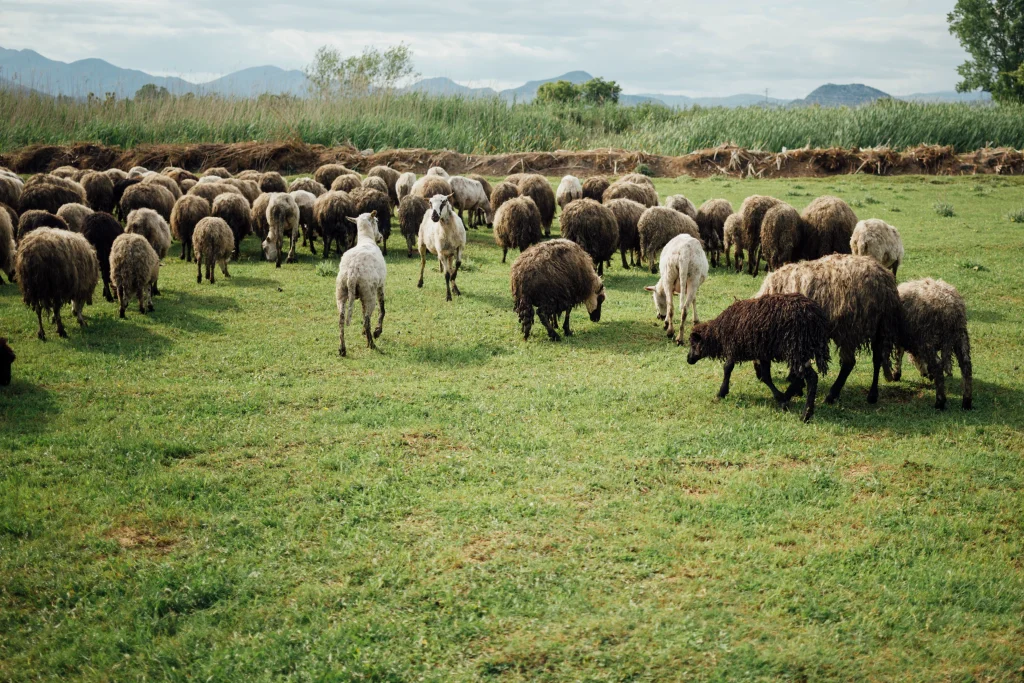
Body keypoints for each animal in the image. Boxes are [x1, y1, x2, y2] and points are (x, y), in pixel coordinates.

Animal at [336, 211, 386, 357]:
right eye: (377, 221)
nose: (381, 237)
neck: (366, 239)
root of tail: (352, 273)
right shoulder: (380, 286)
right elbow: (382, 309)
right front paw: (377, 331)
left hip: (341, 292)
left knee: (341, 320)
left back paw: (342, 349)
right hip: (369, 293)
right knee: (367, 318)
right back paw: (371, 343)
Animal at [687, 294, 831, 423]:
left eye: (693, 344)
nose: (688, 359)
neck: (719, 334)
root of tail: (816, 318)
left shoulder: (733, 347)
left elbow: (727, 368)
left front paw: (721, 392)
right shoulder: (763, 353)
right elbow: (765, 376)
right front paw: (780, 398)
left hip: (796, 348)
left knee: (811, 377)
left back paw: (805, 415)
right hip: (799, 351)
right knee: (801, 375)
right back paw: (791, 397)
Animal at [757, 254, 903, 405]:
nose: (759, 377)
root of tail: (884, 281)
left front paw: (796, 387)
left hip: (850, 328)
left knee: (849, 363)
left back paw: (832, 395)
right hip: (880, 325)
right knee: (877, 359)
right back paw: (872, 395)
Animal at [894, 278, 972, 410]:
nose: (925, 374)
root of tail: (948, 306)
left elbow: (898, 354)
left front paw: (896, 374)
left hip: (927, 338)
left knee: (938, 365)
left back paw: (940, 402)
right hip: (961, 335)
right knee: (966, 365)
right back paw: (967, 402)